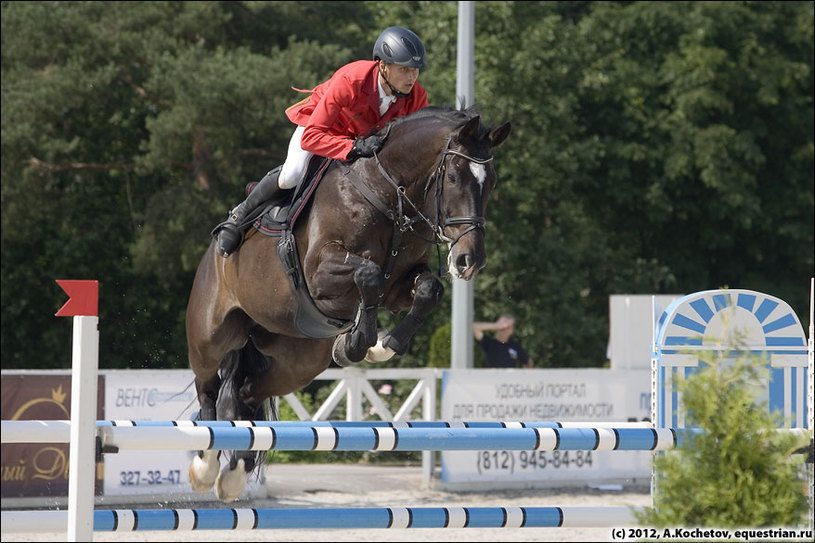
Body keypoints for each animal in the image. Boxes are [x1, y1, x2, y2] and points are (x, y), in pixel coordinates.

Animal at [188, 106, 512, 502]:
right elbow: (369, 275)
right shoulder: (320, 273)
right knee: (208, 389)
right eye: (452, 177)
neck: (386, 195)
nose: (469, 261)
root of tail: (210, 258)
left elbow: (428, 289)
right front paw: (358, 342)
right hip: (210, 337)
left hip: (297, 361)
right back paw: (205, 468)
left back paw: (235, 471)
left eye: (491, 182)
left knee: (247, 391)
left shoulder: (399, 286)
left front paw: (382, 345)